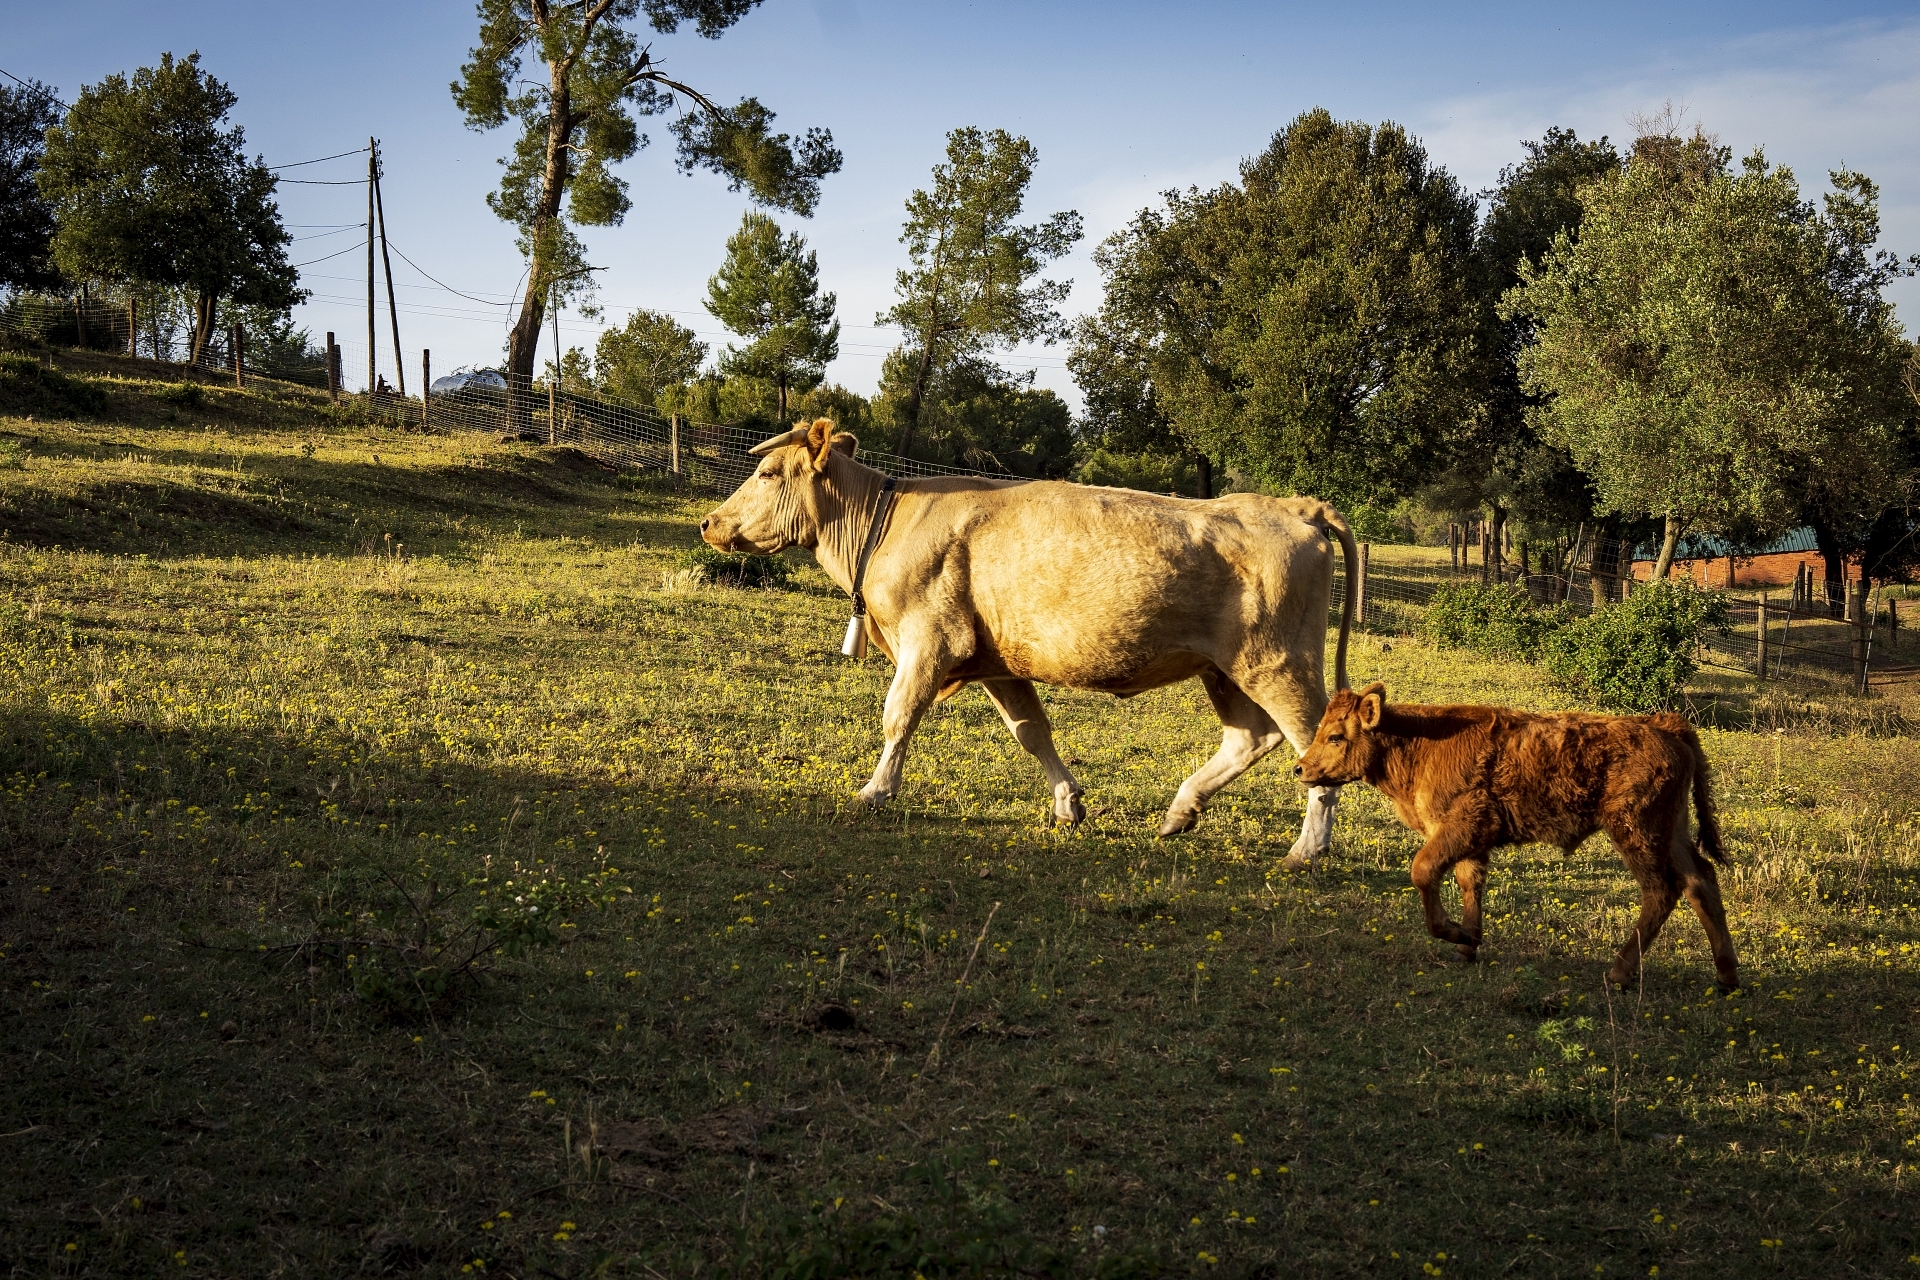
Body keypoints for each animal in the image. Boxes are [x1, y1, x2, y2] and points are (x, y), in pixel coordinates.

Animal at [698, 420, 1359, 871]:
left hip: (1278, 663)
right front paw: (1069, 803)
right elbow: (1031, 730)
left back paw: (1306, 849)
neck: (885, 522)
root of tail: (1294, 506)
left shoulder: (929, 639)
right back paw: (1180, 811)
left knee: (1313, 744)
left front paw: (875, 793)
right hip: (1224, 668)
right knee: (1251, 737)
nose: (708, 522)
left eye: (767, 473)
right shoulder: (995, 661)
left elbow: (898, 716)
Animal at [1297, 679, 1735, 990]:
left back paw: (1619, 973)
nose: (1300, 769)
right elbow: (1469, 882)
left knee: (1661, 890)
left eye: (1336, 736)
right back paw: (1727, 976)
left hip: (1636, 832)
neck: (1419, 742)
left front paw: (1455, 933)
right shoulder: (1472, 842)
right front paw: (1468, 944)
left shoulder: (1461, 827)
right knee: (1700, 881)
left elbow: (1423, 871)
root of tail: (1664, 725)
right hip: (1672, 831)